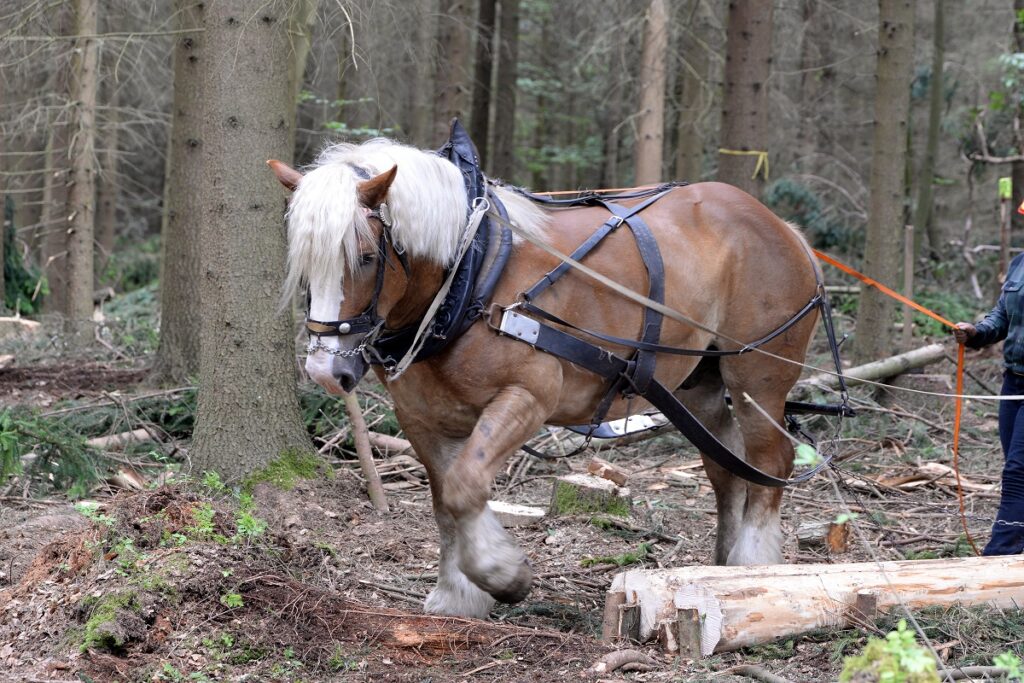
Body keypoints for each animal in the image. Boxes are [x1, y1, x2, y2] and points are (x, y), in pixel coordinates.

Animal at [272, 132, 823, 618]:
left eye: (366, 258)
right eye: (303, 262)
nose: (325, 370)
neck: (472, 274)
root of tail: (785, 228)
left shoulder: (528, 396)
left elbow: (465, 486)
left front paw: (502, 574)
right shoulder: (422, 418)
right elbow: (445, 500)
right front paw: (458, 593)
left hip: (757, 375)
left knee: (771, 459)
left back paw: (755, 565)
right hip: (697, 384)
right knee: (726, 466)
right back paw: (723, 571)